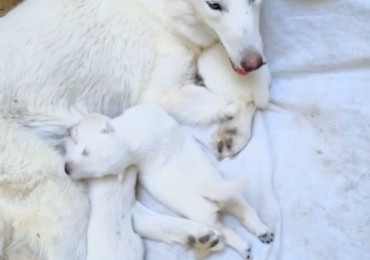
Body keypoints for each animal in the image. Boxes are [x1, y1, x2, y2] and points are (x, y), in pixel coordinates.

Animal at [62, 104, 274, 258]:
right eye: (93, 174)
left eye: (84, 150)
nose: (66, 169)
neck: (127, 141)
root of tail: (208, 189)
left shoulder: (143, 115)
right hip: (220, 187)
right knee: (240, 206)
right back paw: (260, 233)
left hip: (200, 204)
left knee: (221, 224)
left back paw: (247, 241)